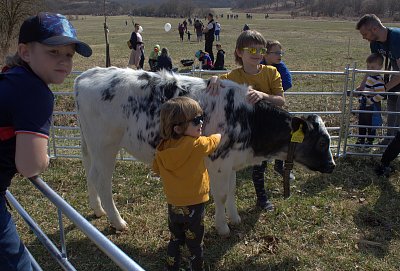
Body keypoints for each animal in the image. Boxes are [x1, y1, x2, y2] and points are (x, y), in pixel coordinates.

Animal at [74, 67, 334, 236]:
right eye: (322, 142)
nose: (332, 166)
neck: (249, 118)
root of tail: (87, 75)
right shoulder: (218, 162)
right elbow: (221, 195)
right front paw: (222, 227)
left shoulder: (231, 162)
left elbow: (231, 190)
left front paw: (235, 218)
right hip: (105, 146)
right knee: (102, 180)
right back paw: (117, 221)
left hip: (90, 145)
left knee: (89, 173)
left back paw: (97, 210)